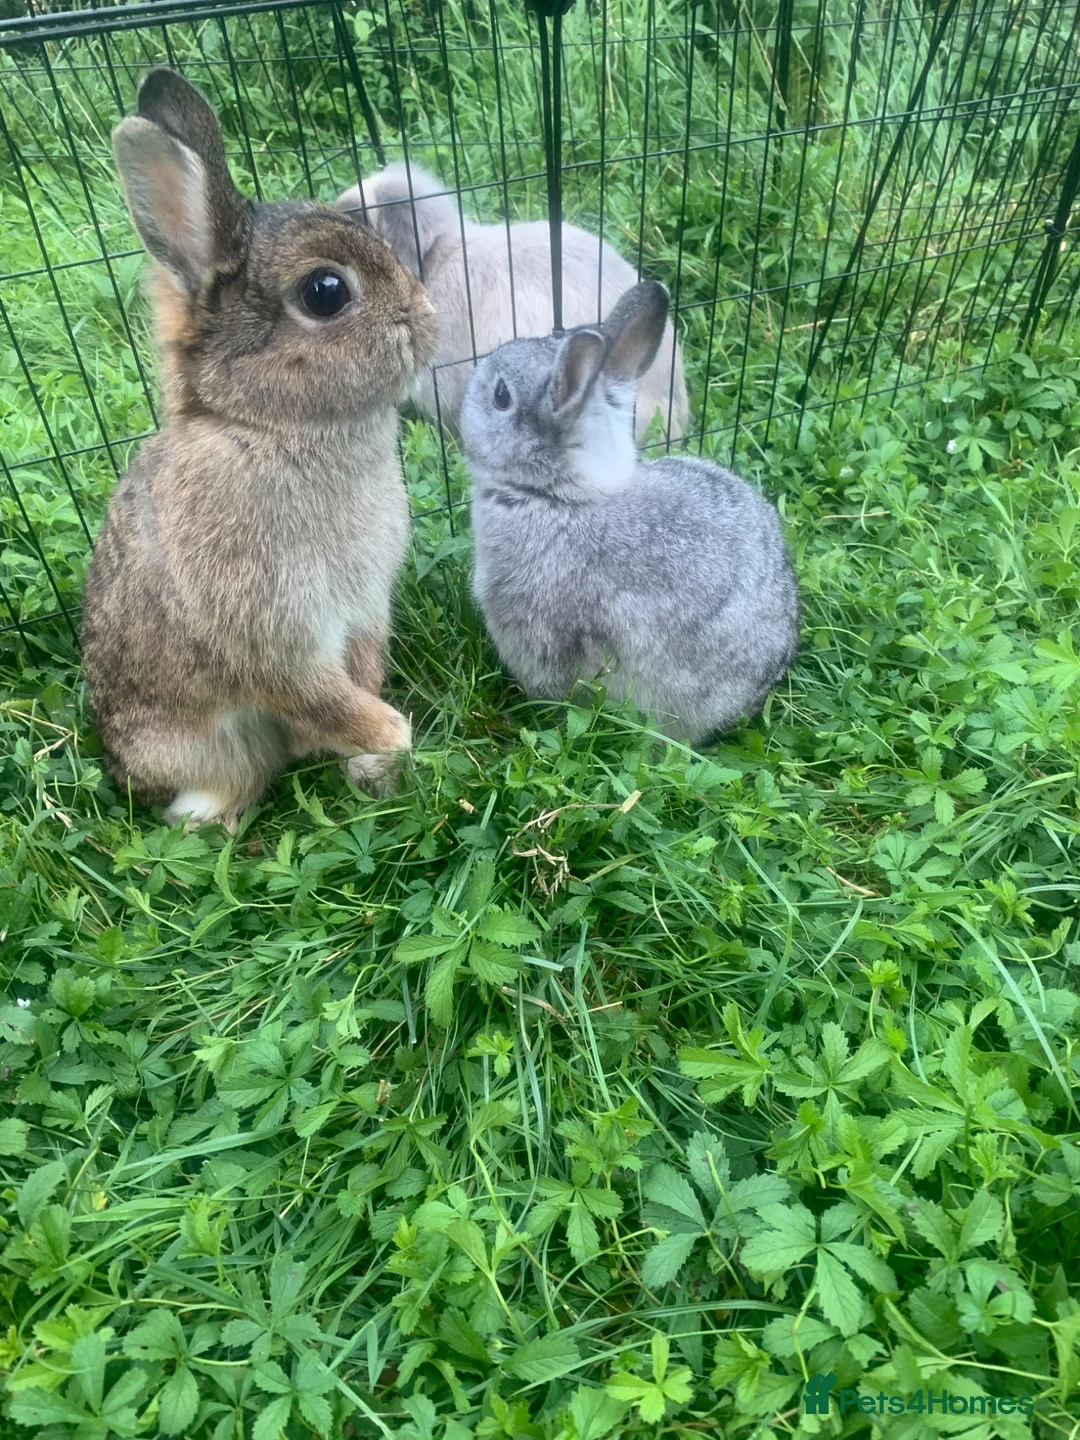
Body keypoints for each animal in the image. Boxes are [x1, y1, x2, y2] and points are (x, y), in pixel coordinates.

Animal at [80, 68, 439, 831]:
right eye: (325, 291)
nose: (427, 317)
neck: (269, 426)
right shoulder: (267, 632)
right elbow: (317, 692)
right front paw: (391, 733)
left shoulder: (363, 609)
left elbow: (359, 670)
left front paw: (380, 754)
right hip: (206, 750)